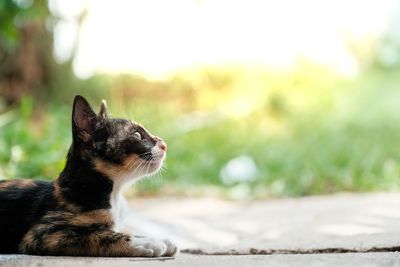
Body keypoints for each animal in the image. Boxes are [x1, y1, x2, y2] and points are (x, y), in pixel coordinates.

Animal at [0, 96, 178, 258]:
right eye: (137, 135)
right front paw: (147, 242)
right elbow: (100, 235)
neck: (114, 194)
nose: (164, 144)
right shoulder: (43, 234)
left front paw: (160, 239)